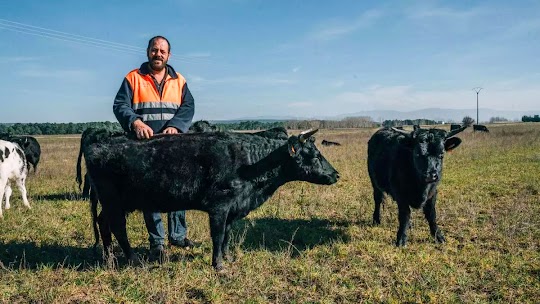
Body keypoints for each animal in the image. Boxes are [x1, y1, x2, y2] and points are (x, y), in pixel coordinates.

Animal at [84, 128, 338, 270]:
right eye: (314, 155)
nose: (336, 174)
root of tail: (101, 139)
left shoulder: (233, 208)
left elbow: (226, 235)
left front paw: (227, 258)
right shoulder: (220, 206)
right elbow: (217, 235)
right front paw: (219, 265)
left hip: (116, 203)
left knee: (103, 224)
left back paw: (109, 258)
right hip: (113, 200)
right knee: (118, 227)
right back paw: (134, 261)